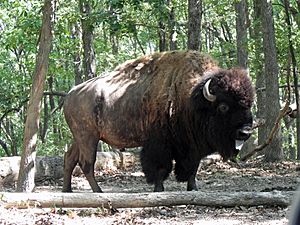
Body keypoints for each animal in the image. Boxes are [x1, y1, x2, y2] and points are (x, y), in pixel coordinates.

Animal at [62, 50, 254, 192]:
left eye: (249, 104)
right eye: (223, 106)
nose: (245, 132)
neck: (191, 97)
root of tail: (71, 93)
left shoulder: (193, 146)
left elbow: (193, 168)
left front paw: (193, 188)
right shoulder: (159, 143)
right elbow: (160, 167)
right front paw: (159, 189)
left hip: (80, 139)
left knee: (69, 159)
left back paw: (67, 190)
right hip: (89, 138)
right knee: (86, 164)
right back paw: (98, 192)